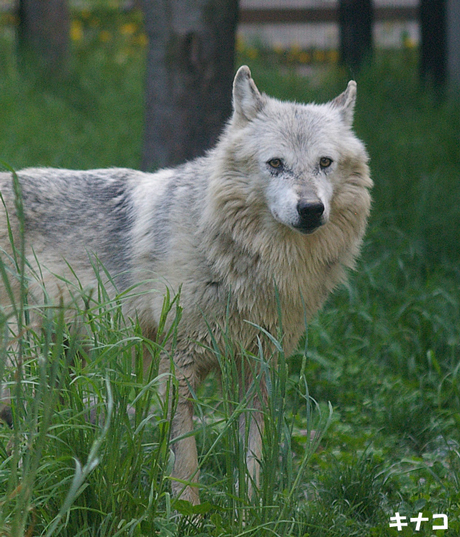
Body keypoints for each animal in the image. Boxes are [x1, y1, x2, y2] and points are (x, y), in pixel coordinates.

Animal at [0, 66, 372, 502]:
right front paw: (188, 512)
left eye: (325, 162)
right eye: (276, 163)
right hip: (23, 359)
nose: (311, 209)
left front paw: (247, 510)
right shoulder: (177, 366)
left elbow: (252, 459)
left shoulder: (257, 369)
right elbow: (186, 465)